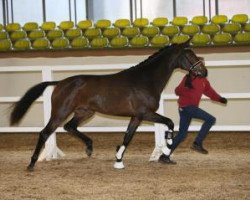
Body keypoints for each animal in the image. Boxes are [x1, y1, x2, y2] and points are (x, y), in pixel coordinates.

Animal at [9, 40, 207, 170]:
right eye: (189, 55)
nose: (204, 72)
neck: (145, 79)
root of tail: (60, 83)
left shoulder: (136, 116)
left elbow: (128, 137)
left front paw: (118, 159)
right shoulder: (145, 113)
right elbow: (170, 123)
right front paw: (167, 146)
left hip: (84, 112)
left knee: (70, 127)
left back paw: (89, 148)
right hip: (61, 112)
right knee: (45, 132)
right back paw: (32, 163)